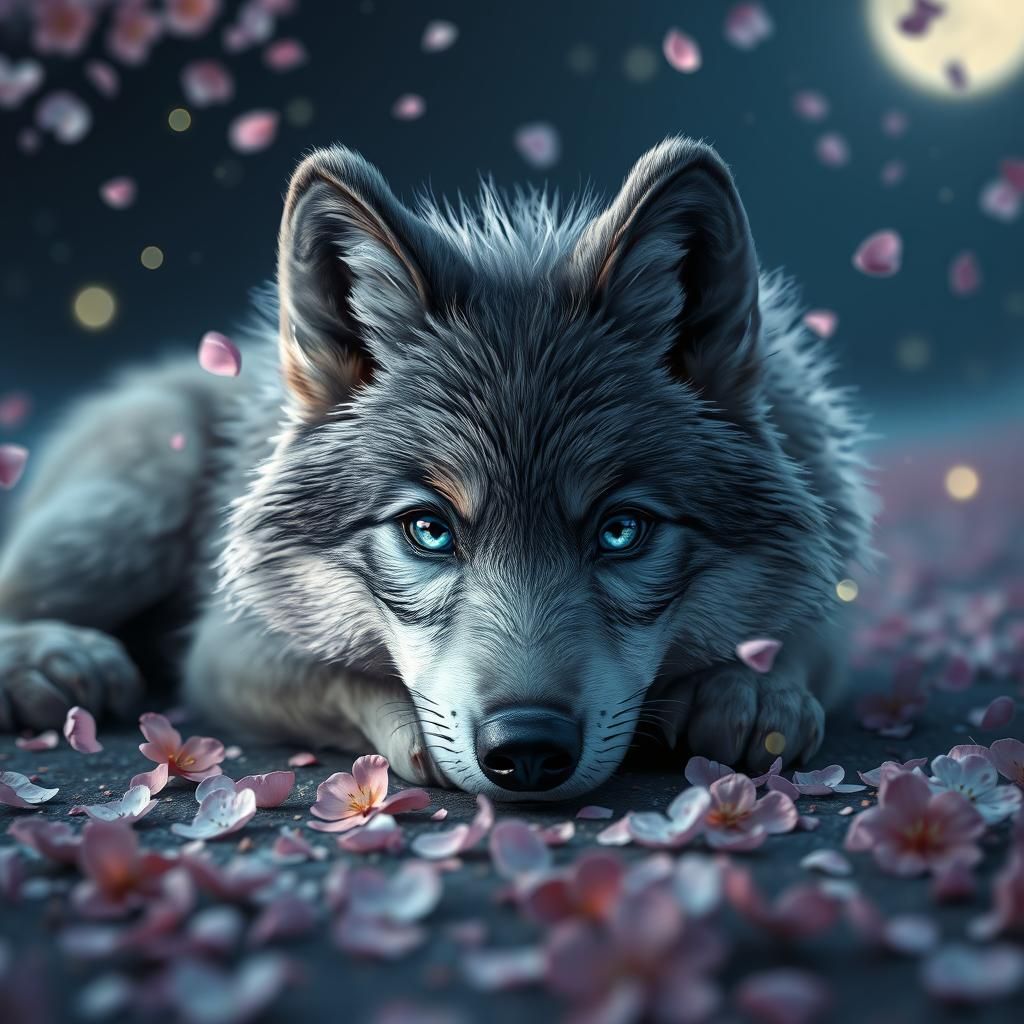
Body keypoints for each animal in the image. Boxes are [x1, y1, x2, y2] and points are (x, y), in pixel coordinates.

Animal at [0, 137, 872, 799]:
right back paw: (57, 663)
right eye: (428, 530)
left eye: (622, 532)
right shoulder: (226, 646)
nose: (528, 746)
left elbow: (806, 635)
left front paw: (751, 689)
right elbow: (346, 678)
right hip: (129, 517)